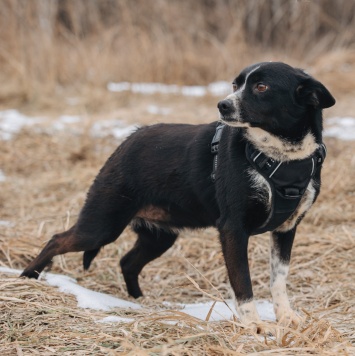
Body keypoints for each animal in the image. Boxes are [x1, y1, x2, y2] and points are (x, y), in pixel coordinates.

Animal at [22, 61, 336, 330]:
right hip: (102, 225)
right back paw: (28, 279)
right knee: (56, 239)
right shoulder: (233, 229)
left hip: (160, 236)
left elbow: (278, 280)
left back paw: (140, 301)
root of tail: (128, 139)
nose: (222, 105)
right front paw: (253, 325)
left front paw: (285, 317)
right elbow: (243, 283)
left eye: (261, 87)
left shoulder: (286, 229)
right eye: (235, 84)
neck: (281, 156)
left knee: (127, 262)